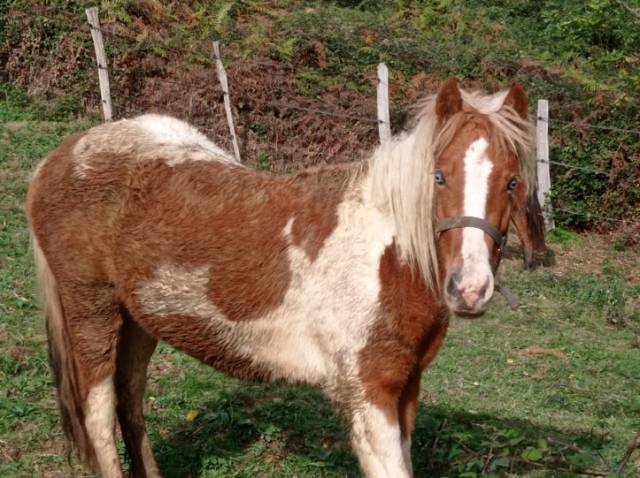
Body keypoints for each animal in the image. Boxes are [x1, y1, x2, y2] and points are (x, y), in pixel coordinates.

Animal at [26, 78, 536, 474]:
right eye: (439, 177)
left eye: (512, 182)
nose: (469, 289)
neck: (388, 257)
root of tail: (59, 158)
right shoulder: (369, 394)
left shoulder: (405, 389)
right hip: (92, 311)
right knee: (98, 415)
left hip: (139, 319)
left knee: (130, 403)